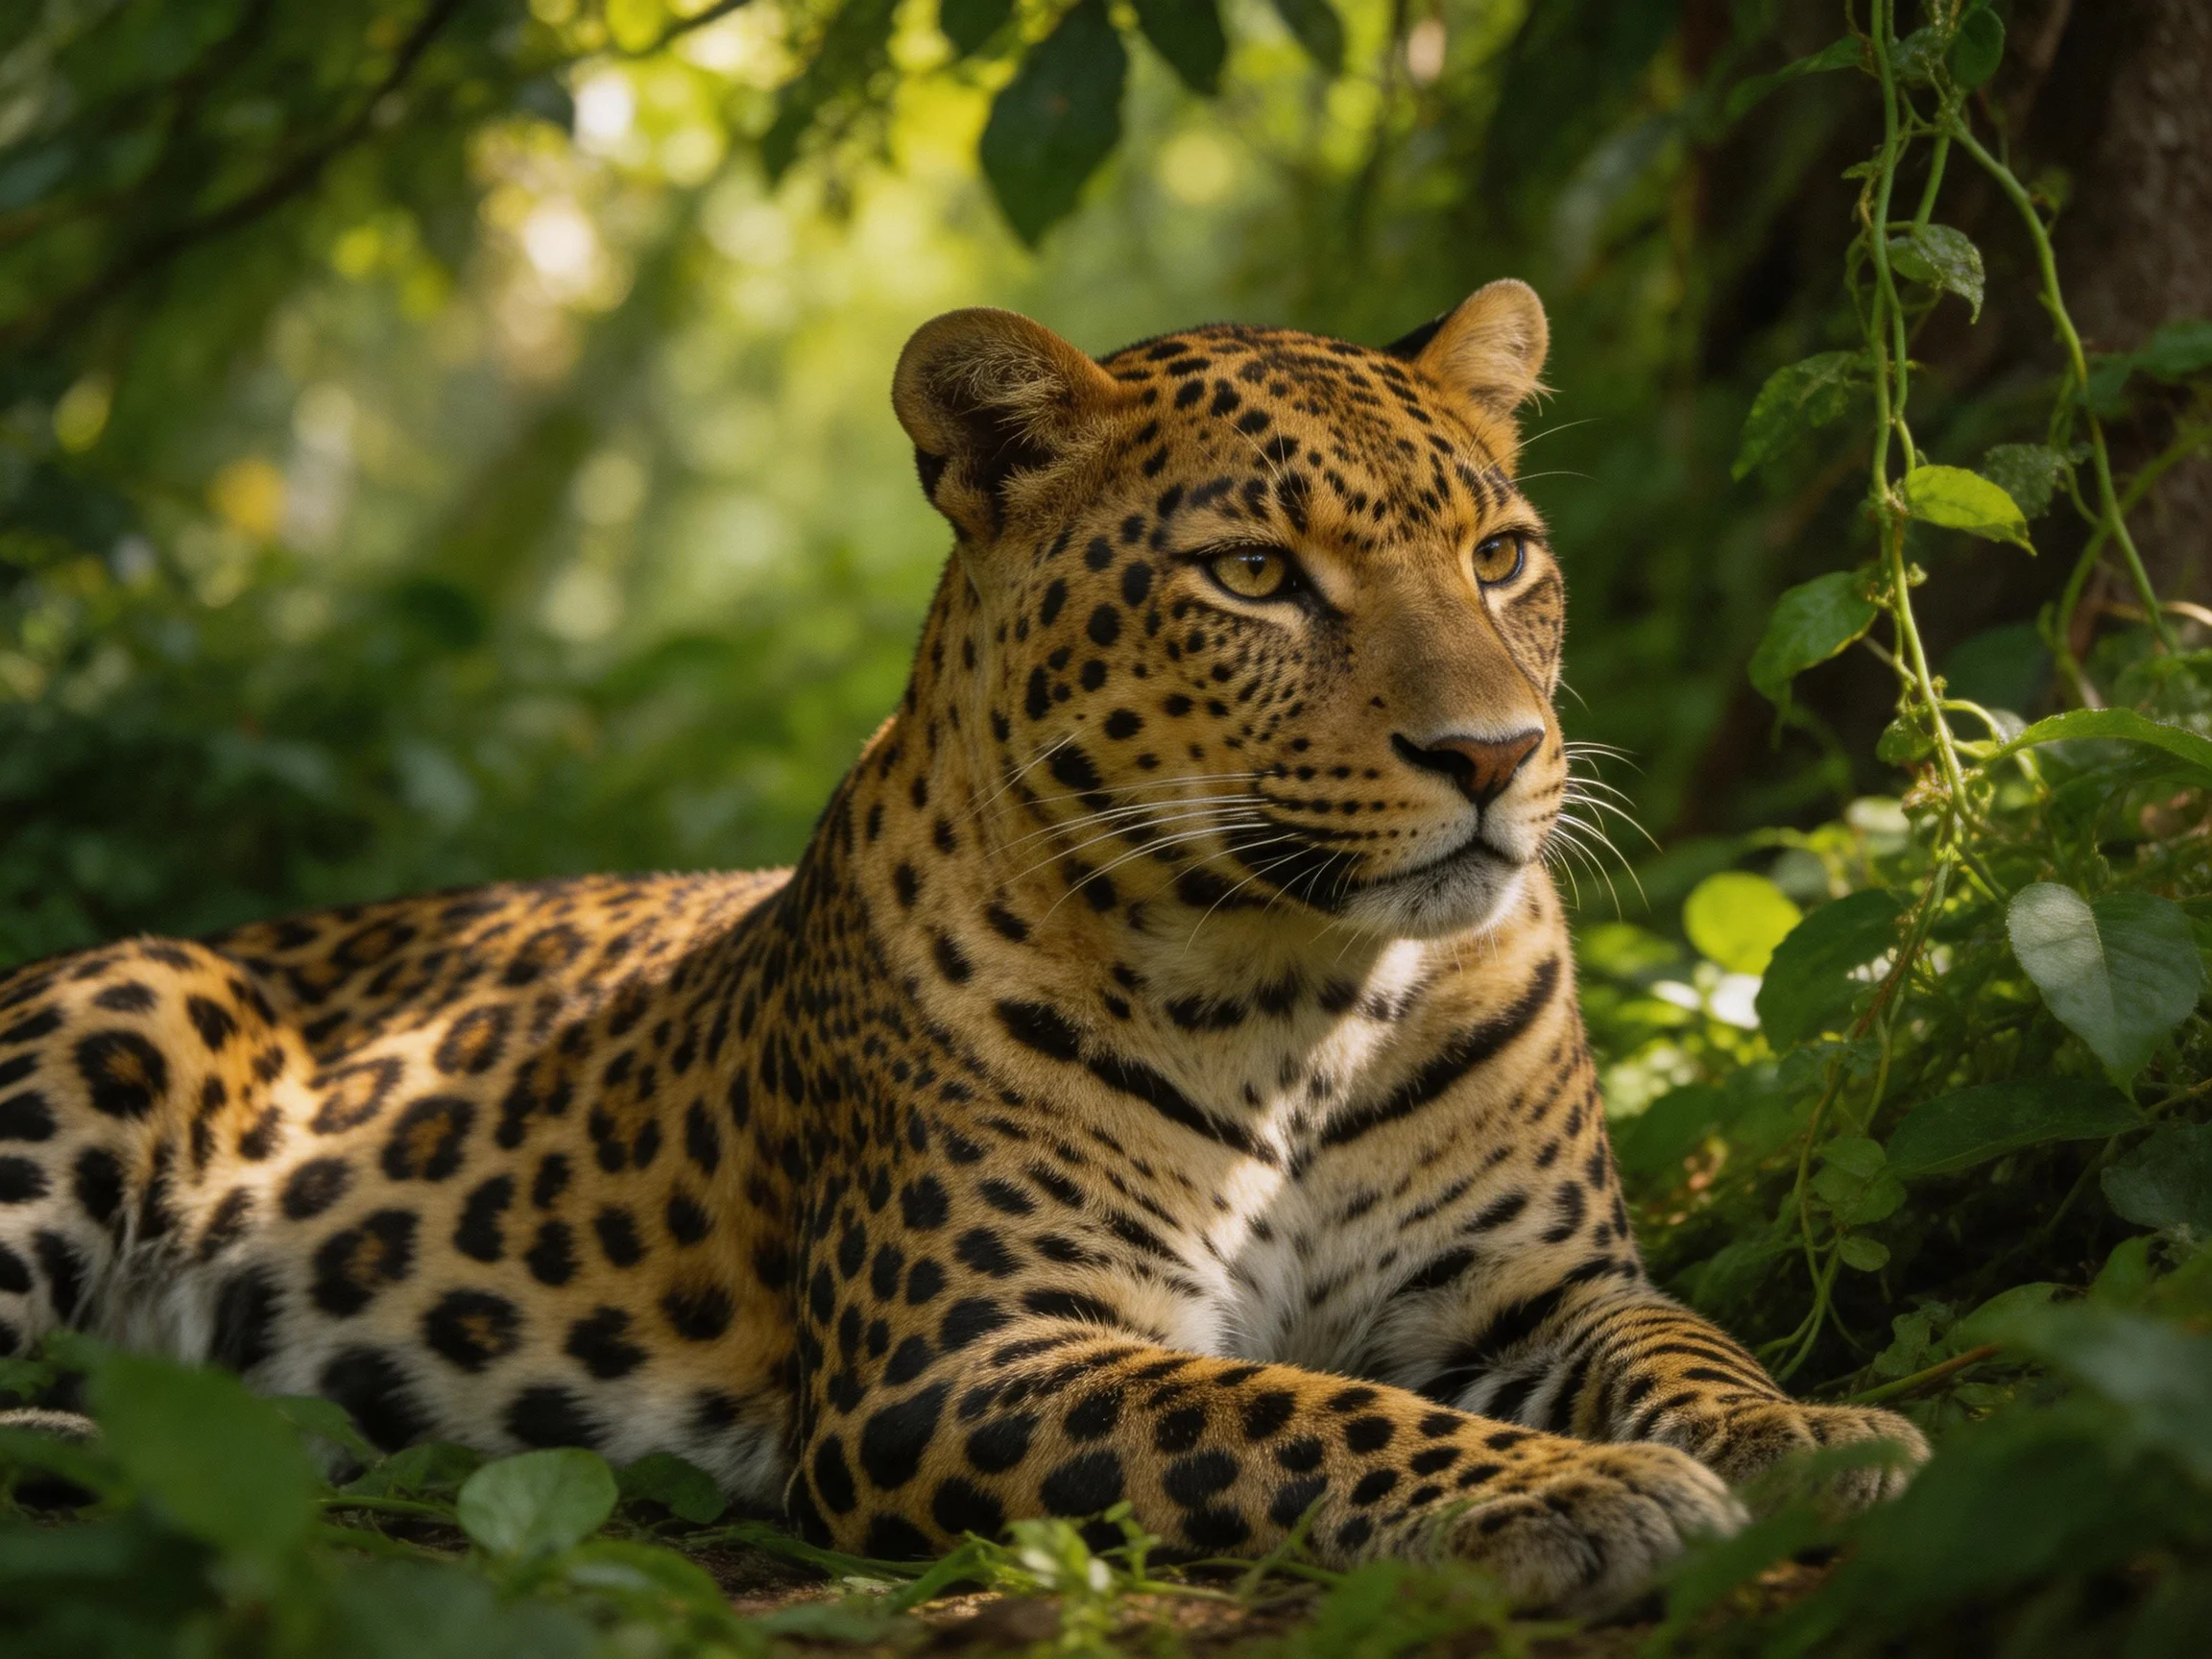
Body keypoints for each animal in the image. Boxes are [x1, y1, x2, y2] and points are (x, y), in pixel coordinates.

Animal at [0, 281, 1926, 1614]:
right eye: (1252, 574)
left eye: (1502, 553)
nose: (1496, 755)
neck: (1309, 989)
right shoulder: (959, 1361)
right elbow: (1291, 1411)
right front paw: (1567, 1492)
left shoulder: (1534, 1279)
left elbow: (1684, 1346)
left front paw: (1810, 1436)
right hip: (130, 1002)